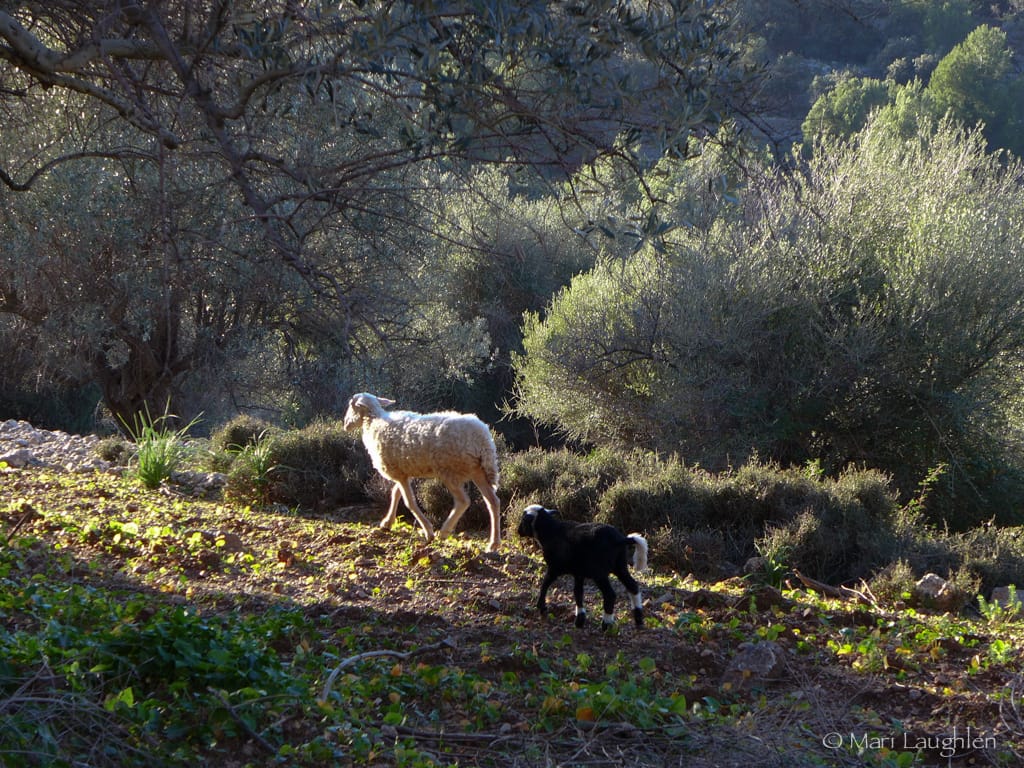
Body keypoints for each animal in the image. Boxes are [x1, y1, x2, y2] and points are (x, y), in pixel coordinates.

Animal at [343, 392, 503, 551]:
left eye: (351, 405)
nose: (345, 425)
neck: (374, 422)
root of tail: (483, 439)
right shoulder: (404, 472)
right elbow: (395, 493)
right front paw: (387, 523)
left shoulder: (399, 473)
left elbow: (409, 502)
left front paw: (428, 531)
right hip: (477, 470)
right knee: (493, 501)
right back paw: (493, 543)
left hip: (450, 470)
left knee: (463, 501)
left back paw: (444, 532)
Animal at [516, 504, 648, 630]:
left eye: (523, 519)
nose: (518, 531)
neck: (550, 531)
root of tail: (621, 539)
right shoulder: (578, 573)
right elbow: (578, 593)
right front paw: (580, 619)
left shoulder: (554, 568)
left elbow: (545, 583)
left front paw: (541, 607)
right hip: (620, 566)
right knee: (633, 586)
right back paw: (638, 619)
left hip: (599, 572)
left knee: (610, 594)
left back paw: (606, 624)